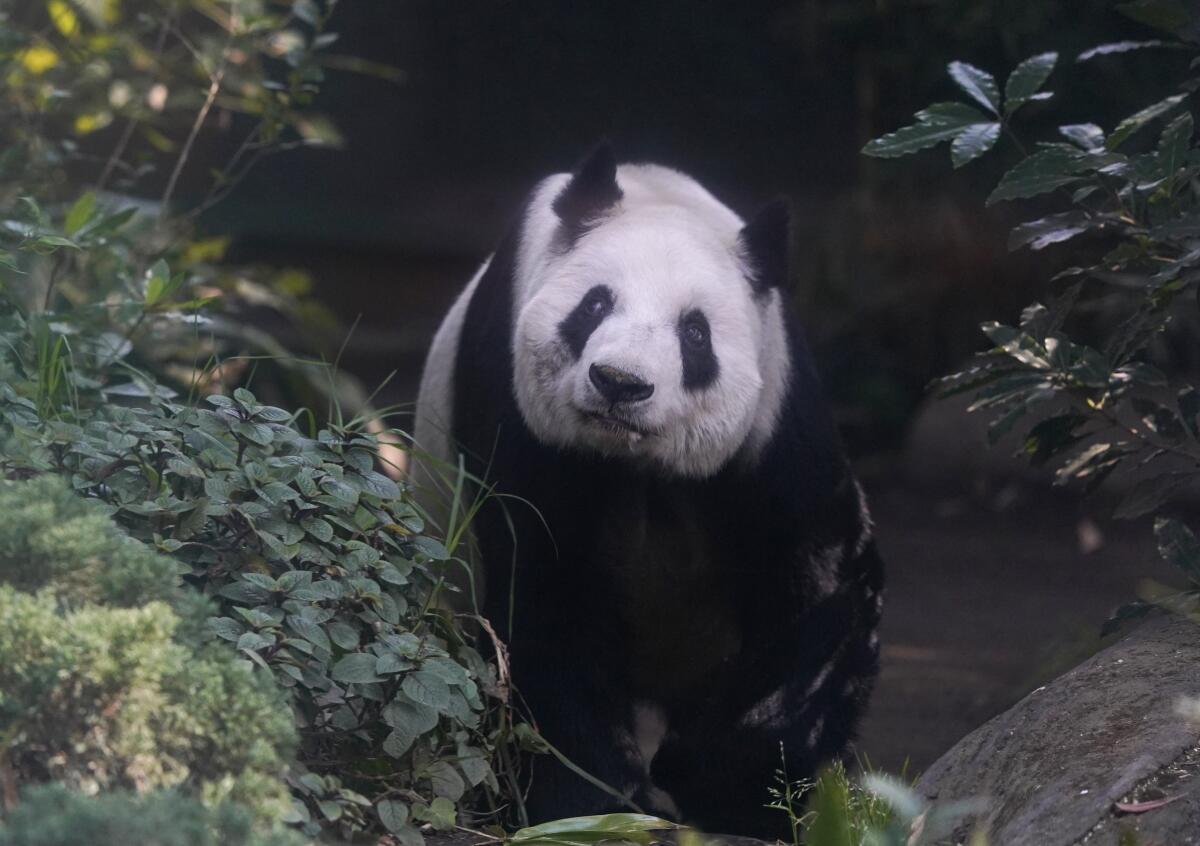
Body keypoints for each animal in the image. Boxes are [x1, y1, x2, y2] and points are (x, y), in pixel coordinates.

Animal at [412, 141, 883, 835]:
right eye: (594, 305)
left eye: (695, 332)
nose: (620, 382)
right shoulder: (516, 412)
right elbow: (546, 598)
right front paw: (596, 804)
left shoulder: (775, 419)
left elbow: (822, 585)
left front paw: (728, 789)